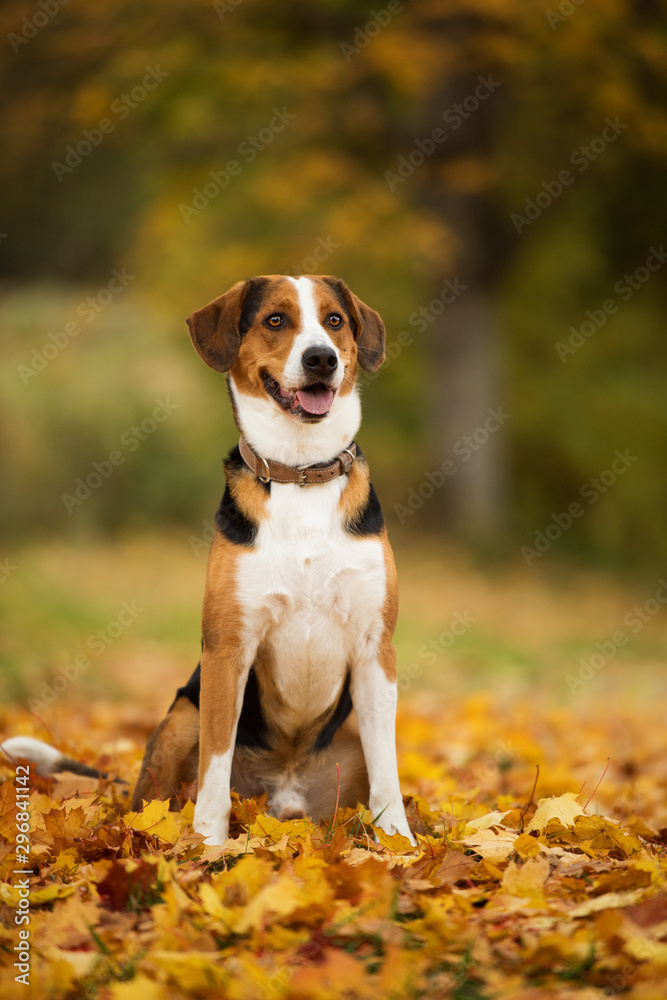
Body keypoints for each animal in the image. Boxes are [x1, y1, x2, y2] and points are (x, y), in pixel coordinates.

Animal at [1, 278, 418, 848]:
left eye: (334, 321)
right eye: (274, 320)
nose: (321, 359)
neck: (300, 471)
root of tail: (284, 794)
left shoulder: (377, 649)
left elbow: (387, 772)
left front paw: (399, 844)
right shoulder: (227, 651)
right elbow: (214, 769)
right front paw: (207, 847)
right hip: (182, 716)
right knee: (154, 801)